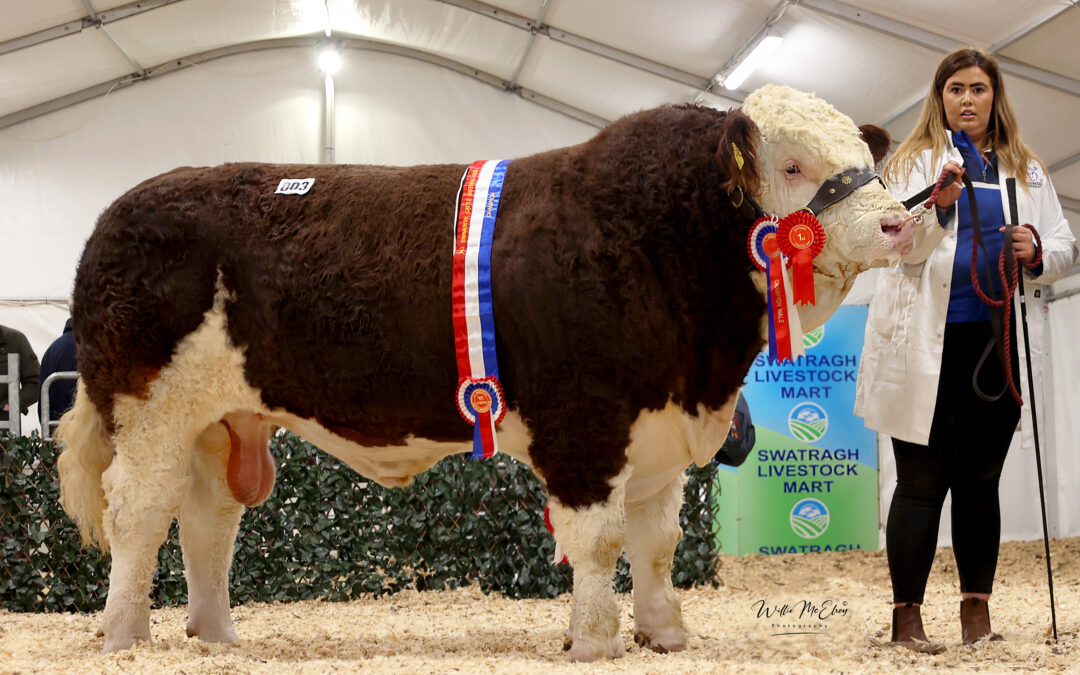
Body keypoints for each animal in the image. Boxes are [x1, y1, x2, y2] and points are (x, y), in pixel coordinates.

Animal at [54, 84, 933, 656]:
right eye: (791, 166)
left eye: (859, 155)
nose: (898, 222)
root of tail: (114, 216)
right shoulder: (586, 424)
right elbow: (601, 539)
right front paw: (595, 640)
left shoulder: (657, 435)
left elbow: (656, 543)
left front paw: (665, 632)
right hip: (149, 407)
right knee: (138, 512)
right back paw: (124, 635)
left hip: (219, 419)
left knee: (207, 518)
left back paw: (215, 635)